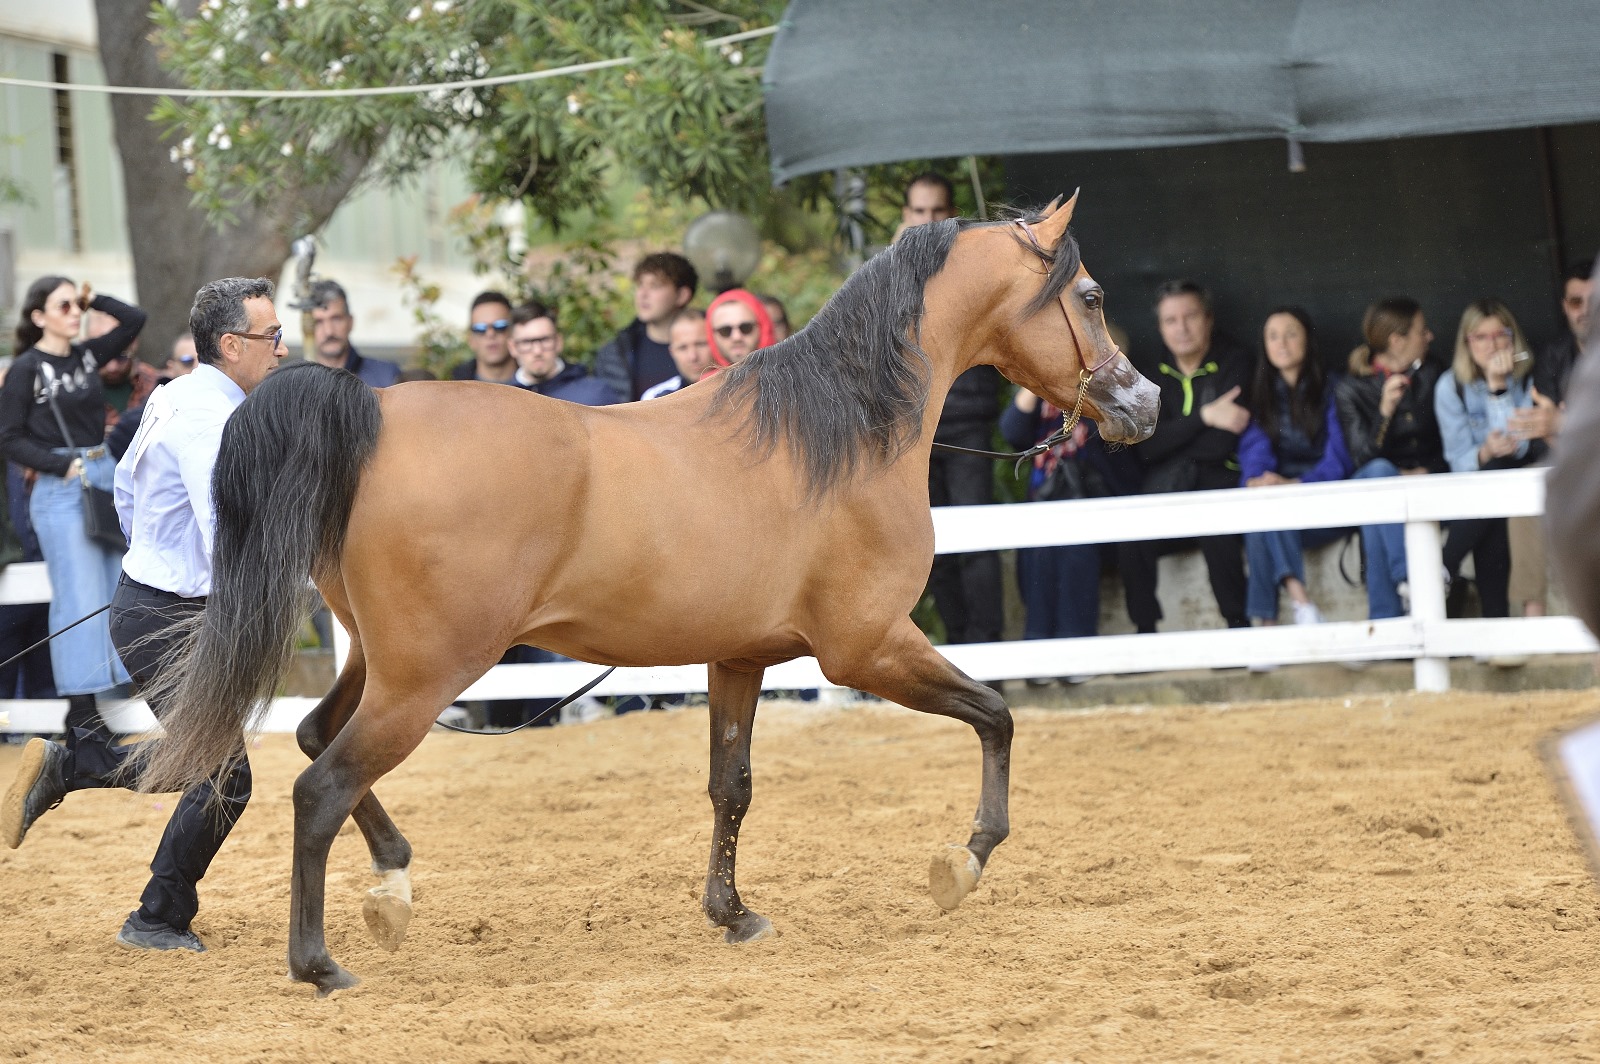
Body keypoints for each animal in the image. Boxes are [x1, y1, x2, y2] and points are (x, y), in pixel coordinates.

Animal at [137, 192, 1158, 998]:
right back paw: (318, 963)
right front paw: (965, 860)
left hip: (381, 662)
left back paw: (392, 882)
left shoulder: (740, 656)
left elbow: (730, 786)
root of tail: (372, 411)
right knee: (321, 784)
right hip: (426, 676)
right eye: (1092, 297)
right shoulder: (868, 648)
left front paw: (733, 912)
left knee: (317, 740)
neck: (839, 436)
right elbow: (995, 716)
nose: (1144, 404)